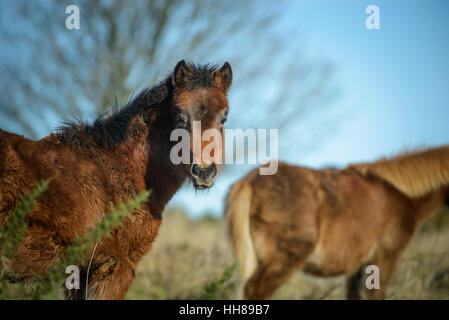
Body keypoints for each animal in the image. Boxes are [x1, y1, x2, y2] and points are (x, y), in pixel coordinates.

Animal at [0, 60, 231, 300]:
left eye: (223, 118)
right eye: (179, 117)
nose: (203, 172)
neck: (124, 169)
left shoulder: (80, 275)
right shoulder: (115, 269)